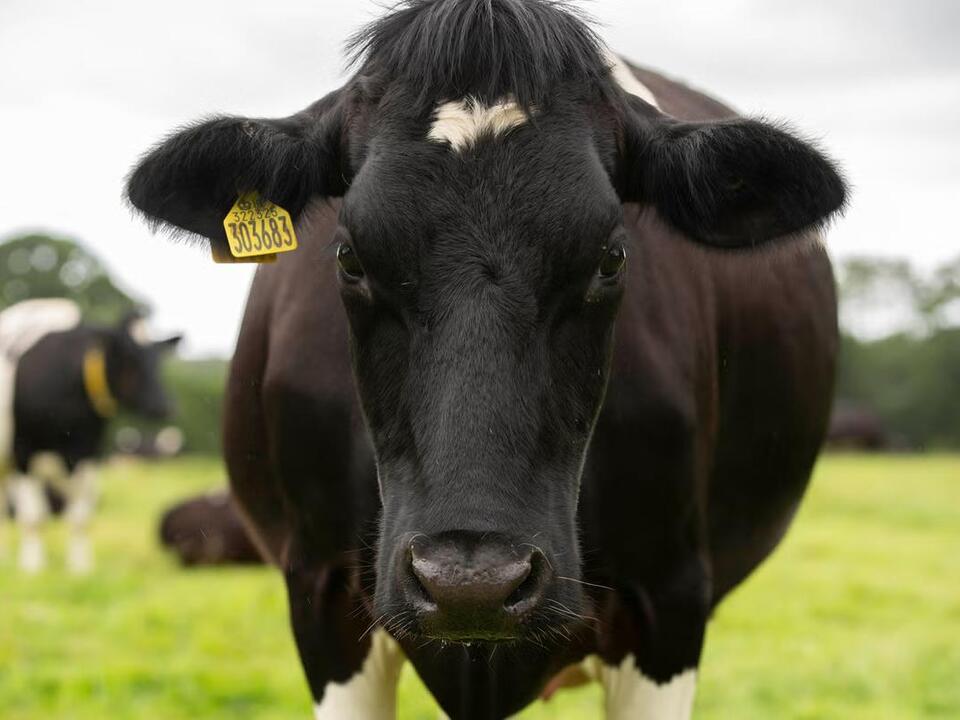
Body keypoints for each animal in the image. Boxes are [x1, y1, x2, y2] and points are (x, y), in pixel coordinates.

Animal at [0, 299, 180, 574]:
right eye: (129, 358)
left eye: (156, 360)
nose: (163, 406)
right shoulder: (24, 452)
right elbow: (33, 517)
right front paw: (33, 565)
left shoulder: (88, 453)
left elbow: (80, 517)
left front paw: (80, 567)